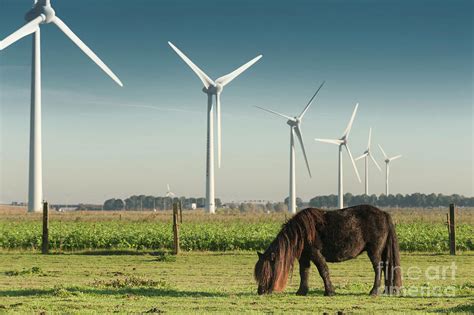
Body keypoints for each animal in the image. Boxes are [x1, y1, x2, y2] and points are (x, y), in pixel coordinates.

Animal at [254, 206, 402, 298]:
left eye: (267, 271)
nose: (260, 291)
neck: (301, 232)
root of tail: (384, 214)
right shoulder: (304, 257)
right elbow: (304, 273)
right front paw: (301, 291)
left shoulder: (315, 254)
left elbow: (323, 271)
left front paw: (329, 291)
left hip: (374, 252)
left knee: (378, 269)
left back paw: (374, 291)